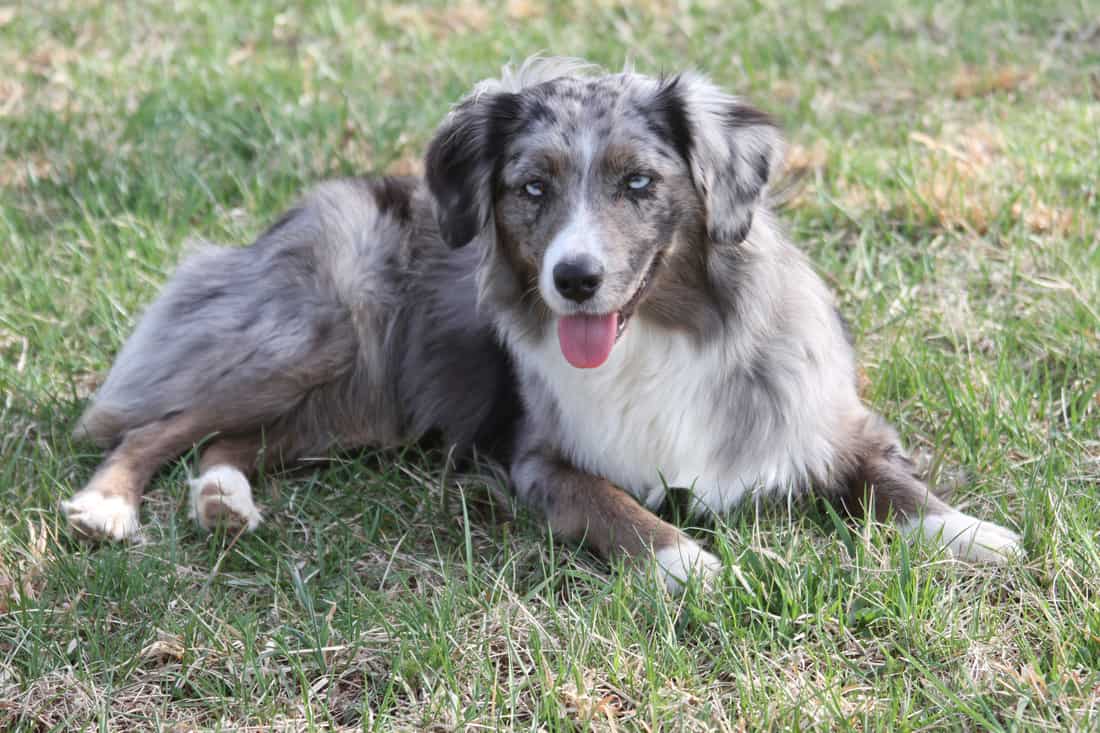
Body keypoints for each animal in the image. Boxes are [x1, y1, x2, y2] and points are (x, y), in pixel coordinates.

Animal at [62, 57, 1020, 589]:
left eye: (639, 182)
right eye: (532, 187)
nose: (575, 278)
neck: (659, 338)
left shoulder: (826, 420)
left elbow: (891, 480)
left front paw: (972, 533)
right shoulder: (541, 462)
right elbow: (618, 509)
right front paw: (691, 564)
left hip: (365, 406)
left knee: (238, 439)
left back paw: (223, 499)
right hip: (318, 341)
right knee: (159, 422)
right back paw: (106, 506)